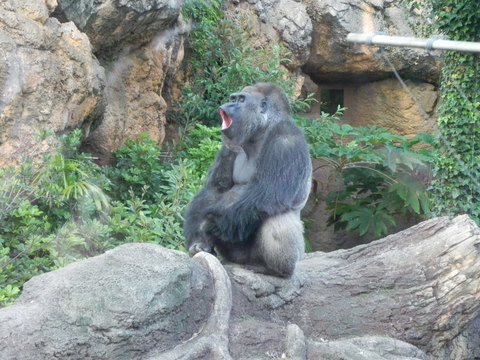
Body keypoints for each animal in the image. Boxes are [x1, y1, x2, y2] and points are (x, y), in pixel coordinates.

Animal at [183, 83, 312, 278]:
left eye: (241, 100)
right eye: (233, 98)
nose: (228, 105)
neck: (262, 130)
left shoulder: (286, 136)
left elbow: (269, 193)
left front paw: (210, 227)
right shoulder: (231, 145)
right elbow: (214, 190)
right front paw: (198, 238)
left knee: (277, 216)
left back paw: (275, 270)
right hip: (235, 257)